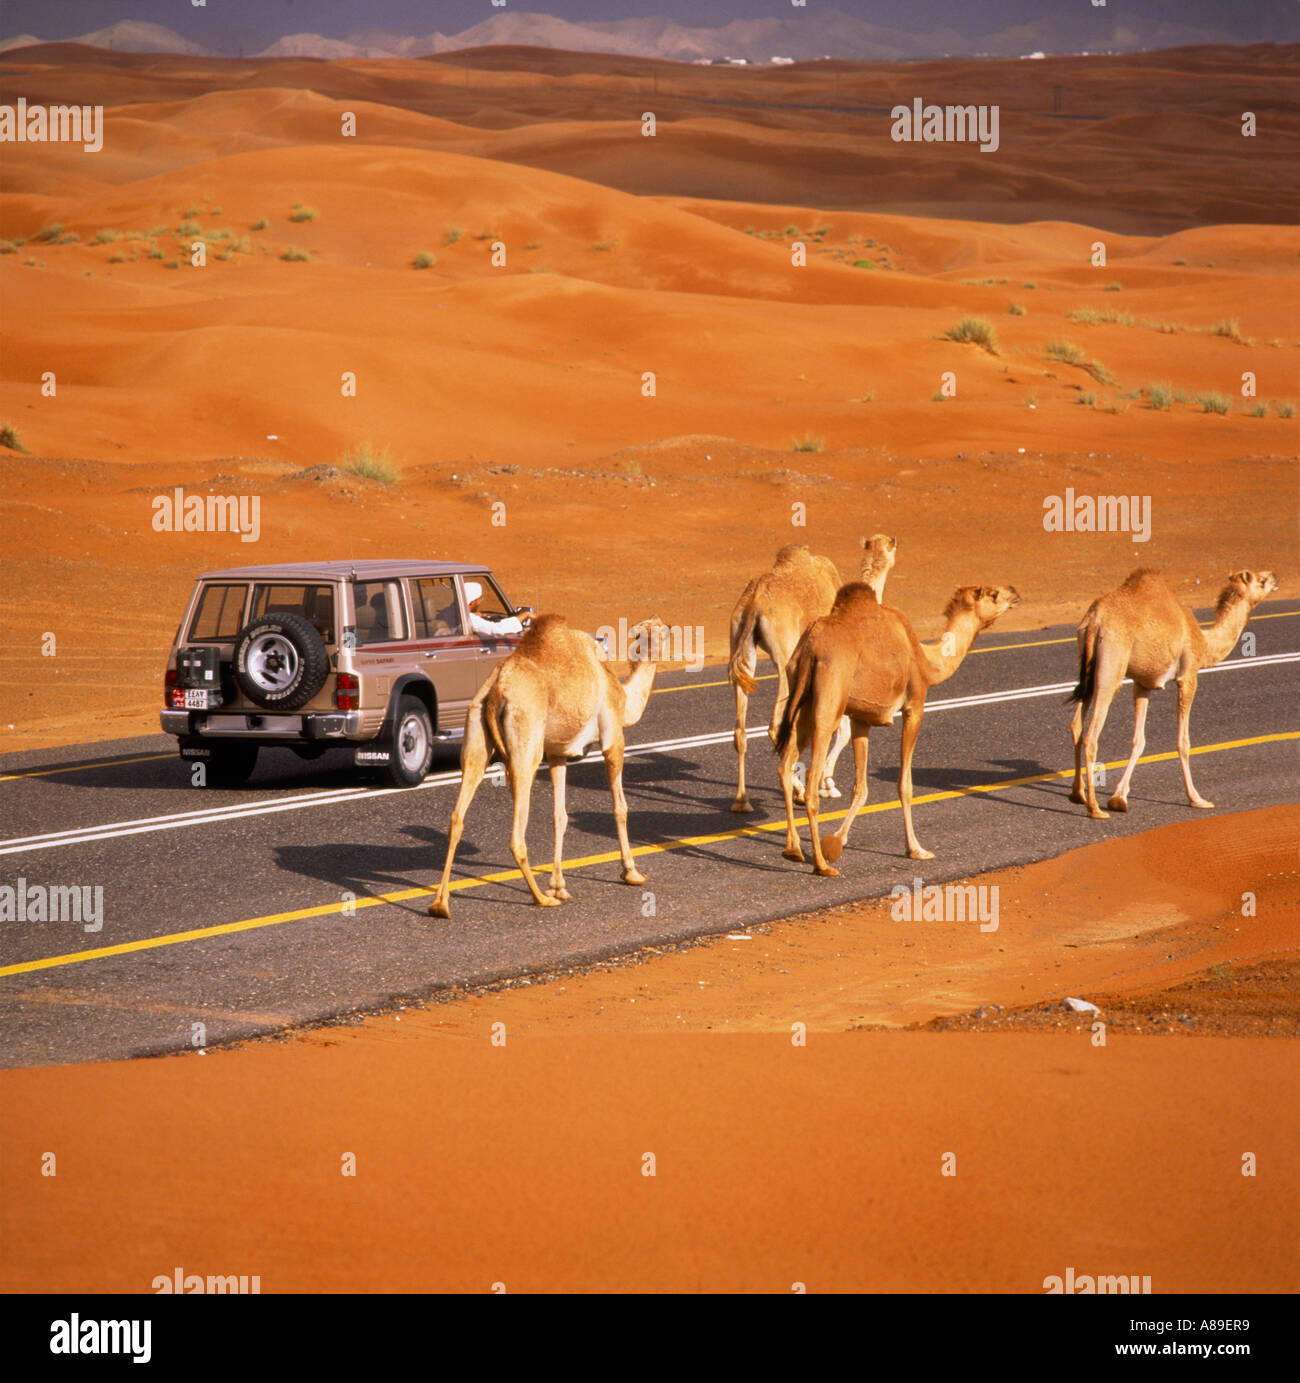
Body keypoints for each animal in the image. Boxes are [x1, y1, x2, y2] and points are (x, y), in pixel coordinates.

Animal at [428, 616, 669, 918]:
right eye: (663, 632)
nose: (668, 629)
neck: (624, 697)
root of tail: (497, 689)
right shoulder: (613, 736)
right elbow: (620, 808)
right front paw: (631, 873)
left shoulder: (557, 754)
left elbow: (560, 816)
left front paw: (559, 886)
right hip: (526, 740)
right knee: (516, 832)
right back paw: (541, 898)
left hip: (474, 730)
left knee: (457, 816)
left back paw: (440, 904)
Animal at [724, 528, 896, 807]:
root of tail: (754, 602)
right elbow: (842, 729)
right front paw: (828, 785)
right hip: (785, 656)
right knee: (776, 724)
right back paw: (800, 791)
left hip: (740, 644)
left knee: (740, 730)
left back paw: (742, 801)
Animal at [774, 583, 1017, 874]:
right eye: (993, 594)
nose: (1014, 592)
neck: (927, 662)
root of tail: (812, 647)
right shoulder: (915, 705)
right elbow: (905, 785)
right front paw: (917, 849)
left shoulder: (861, 718)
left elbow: (861, 787)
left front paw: (837, 841)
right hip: (828, 704)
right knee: (811, 778)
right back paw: (821, 865)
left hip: (800, 698)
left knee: (785, 765)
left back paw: (793, 850)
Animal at [1067, 564, 1277, 813]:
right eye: (1261, 580)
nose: (1275, 577)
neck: (1204, 642)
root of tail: (1094, 620)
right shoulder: (1188, 676)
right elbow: (1183, 742)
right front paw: (1197, 798)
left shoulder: (1143, 684)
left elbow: (1138, 740)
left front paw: (1120, 797)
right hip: (1110, 669)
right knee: (1092, 733)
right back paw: (1095, 809)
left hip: (1087, 670)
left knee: (1076, 725)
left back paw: (1077, 794)